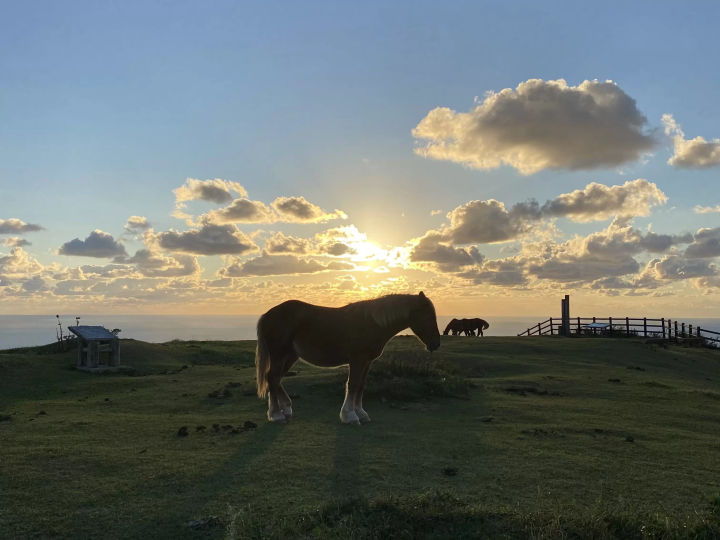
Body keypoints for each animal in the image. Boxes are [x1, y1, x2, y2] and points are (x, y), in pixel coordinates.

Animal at [255, 292, 441, 425]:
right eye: (430, 317)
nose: (436, 344)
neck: (372, 323)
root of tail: (267, 315)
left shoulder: (367, 362)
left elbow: (361, 386)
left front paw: (361, 413)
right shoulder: (358, 360)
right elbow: (353, 385)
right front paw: (350, 415)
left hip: (291, 355)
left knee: (274, 378)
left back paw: (286, 409)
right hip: (279, 354)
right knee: (273, 378)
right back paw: (276, 415)